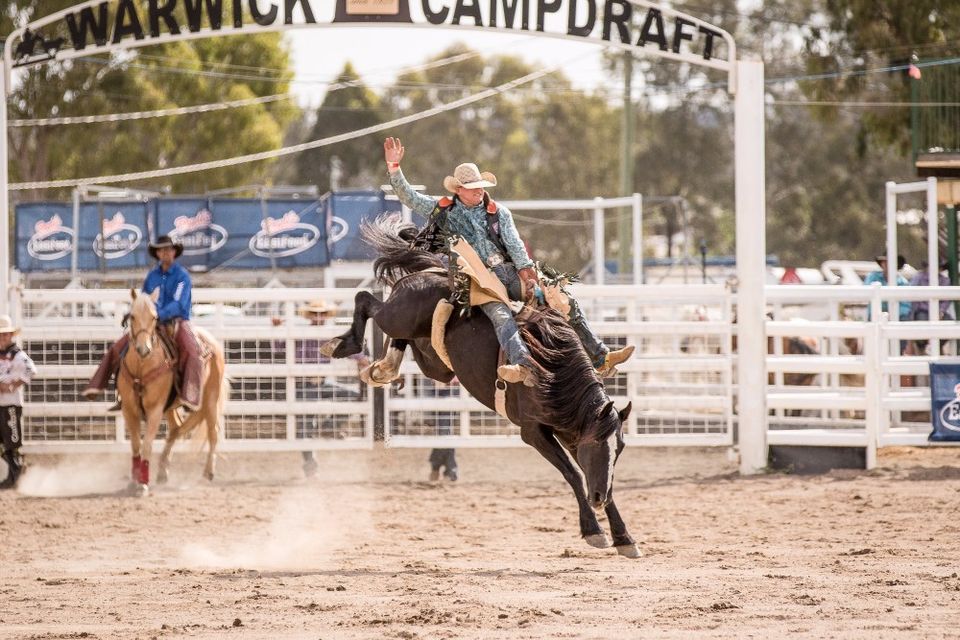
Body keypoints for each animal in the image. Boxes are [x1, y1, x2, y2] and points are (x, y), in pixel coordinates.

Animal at [121, 290, 228, 496]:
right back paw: (163, 471)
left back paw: (208, 473)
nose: (143, 349)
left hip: (211, 398)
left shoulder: (155, 409)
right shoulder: (128, 409)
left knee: (213, 432)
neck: (142, 366)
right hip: (171, 407)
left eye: (154, 317)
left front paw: (142, 485)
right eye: (132, 316)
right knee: (176, 428)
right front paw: (134, 480)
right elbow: (136, 444)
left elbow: (147, 444)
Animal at [320, 218, 636, 556]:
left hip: (435, 360)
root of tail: (435, 271)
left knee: (403, 340)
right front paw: (594, 531)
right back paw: (342, 344)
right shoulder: (534, 432)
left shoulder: (571, 432)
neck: (554, 371)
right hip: (397, 316)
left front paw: (624, 537)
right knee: (365, 299)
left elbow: (592, 474)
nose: (599, 498)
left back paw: (383, 368)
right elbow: (575, 474)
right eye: (596, 443)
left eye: (620, 447)